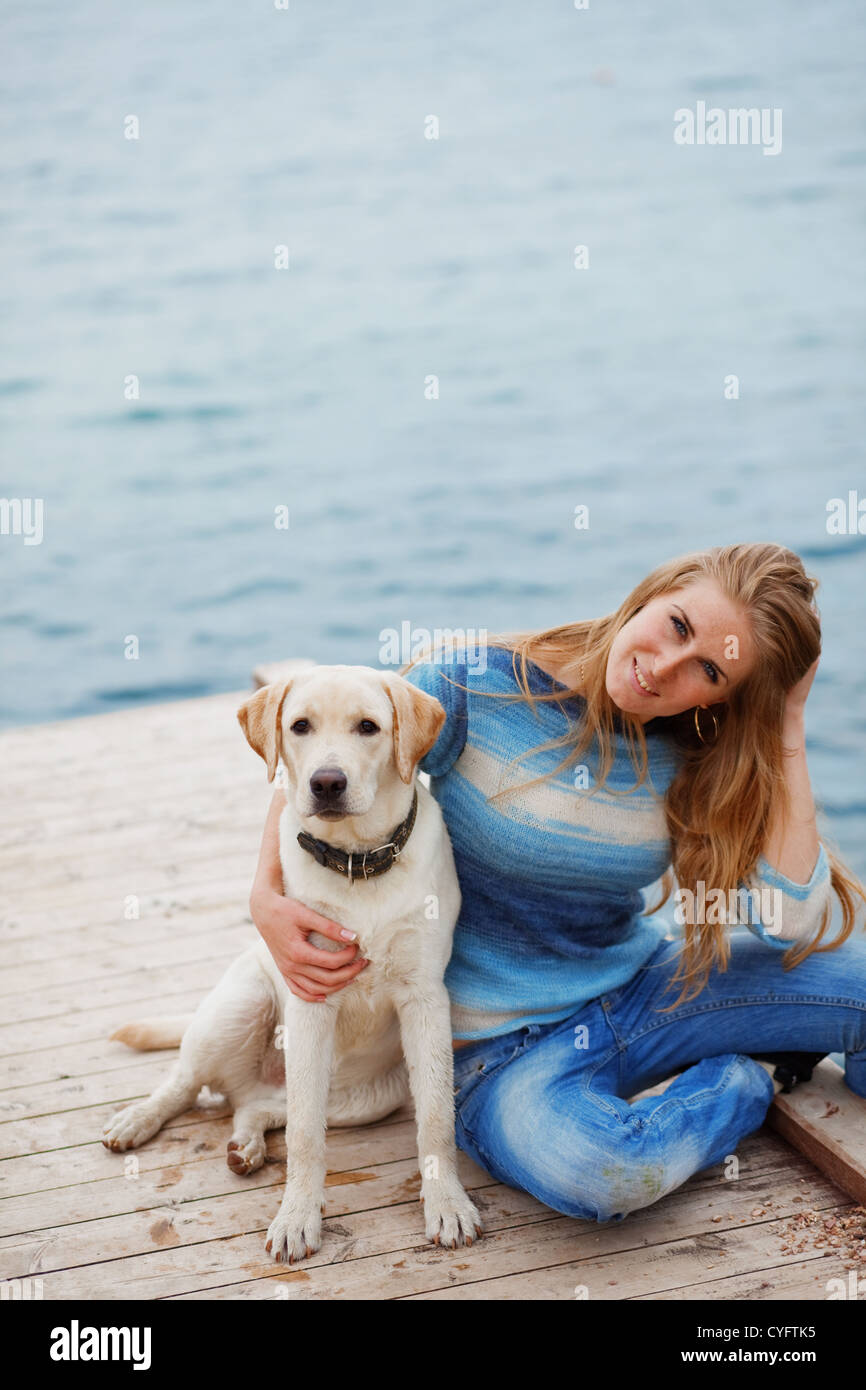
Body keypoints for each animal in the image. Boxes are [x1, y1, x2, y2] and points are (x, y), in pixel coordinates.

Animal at [104, 667, 483, 1267]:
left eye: (368, 727)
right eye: (300, 726)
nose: (327, 782)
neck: (357, 864)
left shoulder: (425, 998)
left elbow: (435, 1120)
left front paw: (446, 1203)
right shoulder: (310, 998)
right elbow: (306, 1136)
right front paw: (297, 1218)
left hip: (367, 1097)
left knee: (254, 1105)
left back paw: (245, 1144)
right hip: (242, 1005)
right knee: (187, 1081)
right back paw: (138, 1119)